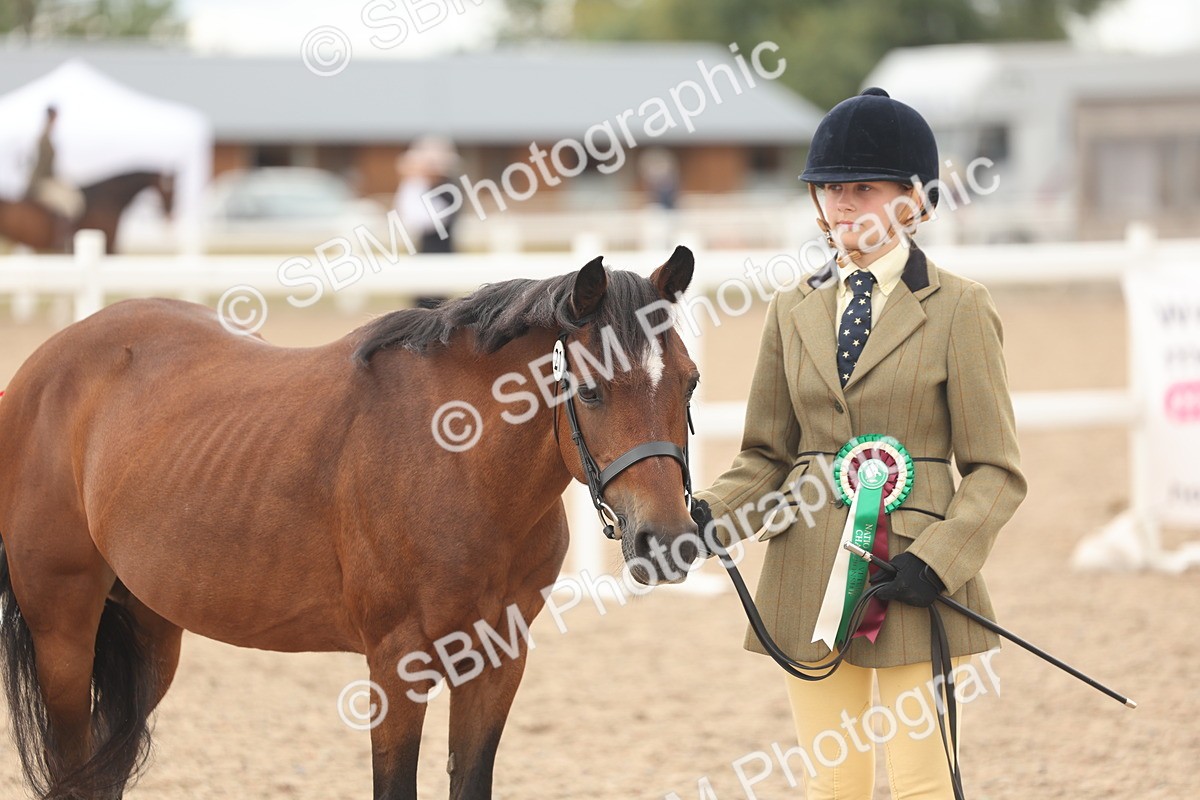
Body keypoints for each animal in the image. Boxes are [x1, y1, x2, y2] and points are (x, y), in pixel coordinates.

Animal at [0, 245, 701, 800]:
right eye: (591, 390)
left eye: (690, 384)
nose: (666, 539)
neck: (458, 460)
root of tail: (41, 370)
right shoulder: (397, 664)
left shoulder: (497, 661)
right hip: (63, 634)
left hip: (149, 630)